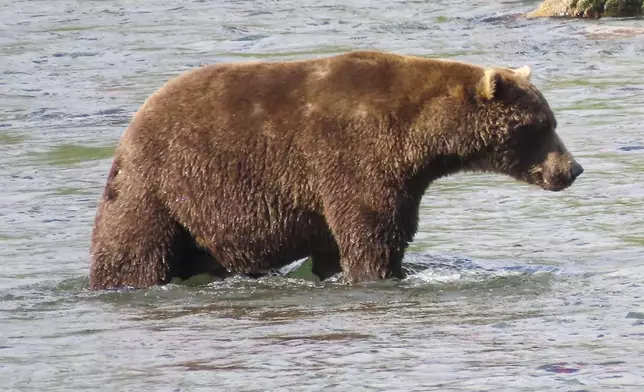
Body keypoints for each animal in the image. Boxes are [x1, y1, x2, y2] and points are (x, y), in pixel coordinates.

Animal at [89, 49, 584, 290]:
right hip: (161, 187)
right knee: (132, 249)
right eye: (542, 125)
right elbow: (372, 229)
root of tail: (132, 125)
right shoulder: (356, 155)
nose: (572, 168)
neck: (422, 138)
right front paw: (382, 274)